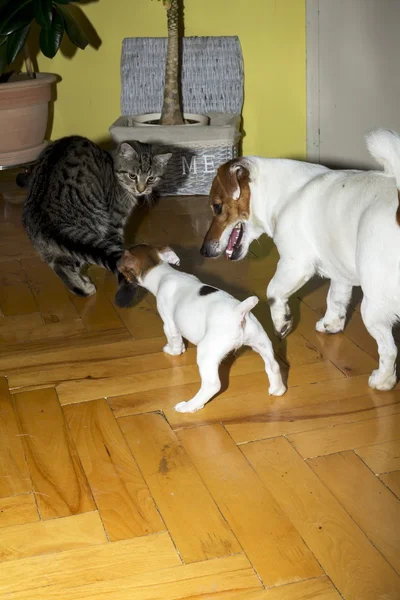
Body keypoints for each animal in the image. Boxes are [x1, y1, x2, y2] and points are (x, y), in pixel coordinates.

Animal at [22, 136, 172, 304]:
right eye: (132, 176)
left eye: (151, 178)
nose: (141, 189)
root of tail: (44, 216)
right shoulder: (114, 222)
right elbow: (117, 245)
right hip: (93, 227)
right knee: (67, 265)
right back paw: (85, 287)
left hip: (50, 246)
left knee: (59, 265)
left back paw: (82, 287)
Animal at [117, 244, 286, 412]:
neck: (163, 271)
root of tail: (239, 311)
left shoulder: (169, 323)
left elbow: (174, 341)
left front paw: (172, 351)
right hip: (261, 342)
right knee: (274, 366)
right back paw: (278, 389)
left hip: (207, 352)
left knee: (212, 385)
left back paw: (190, 406)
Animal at [202, 129, 400, 392]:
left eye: (216, 206)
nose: (203, 250)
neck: (285, 193)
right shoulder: (340, 272)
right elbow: (336, 300)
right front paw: (331, 324)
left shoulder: (295, 264)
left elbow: (273, 291)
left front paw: (281, 322)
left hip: (373, 305)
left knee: (389, 349)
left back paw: (382, 381)